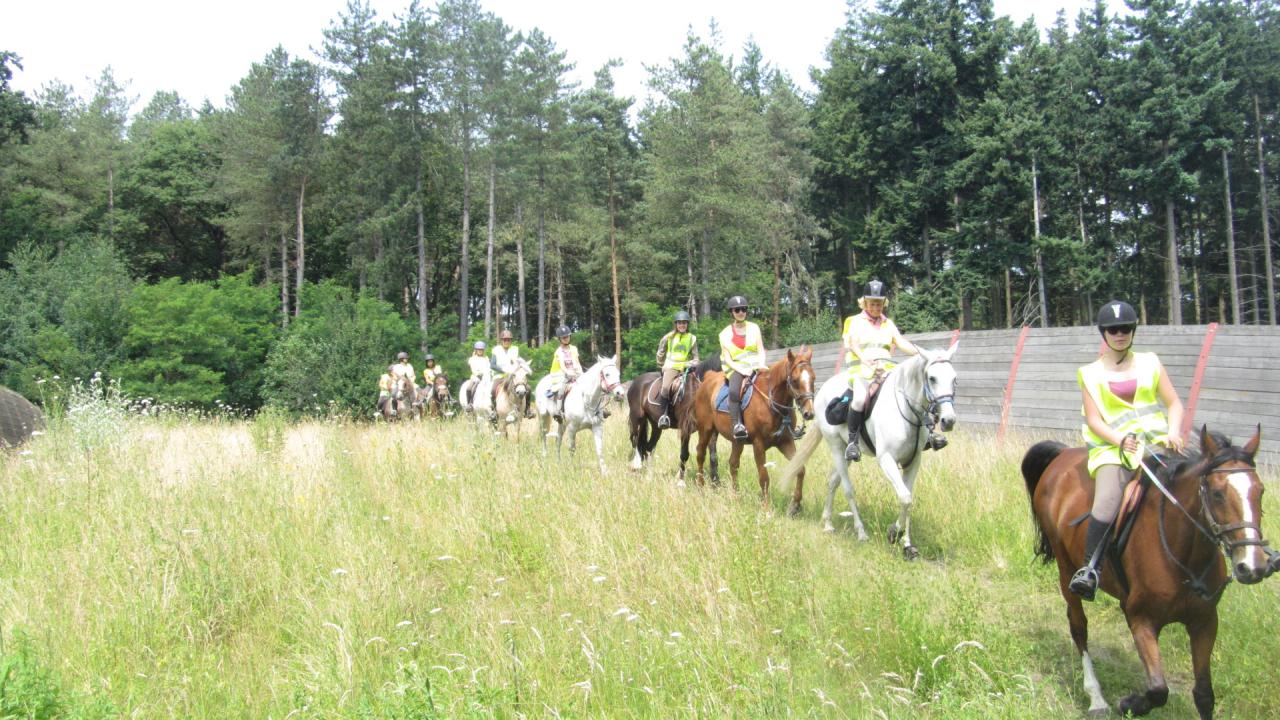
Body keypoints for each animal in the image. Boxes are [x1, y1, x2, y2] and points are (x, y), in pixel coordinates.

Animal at [696, 345, 814, 507]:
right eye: (795, 380)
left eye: (813, 378)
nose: (809, 413)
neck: (771, 402)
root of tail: (708, 378)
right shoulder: (758, 444)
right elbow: (764, 477)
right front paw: (766, 507)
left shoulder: (785, 441)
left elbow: (800, 469)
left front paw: (795, 505)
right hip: (705, 429)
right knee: (700, 454)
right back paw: (701, 487)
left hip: (737, 441)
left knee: (733, 464)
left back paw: (736, 496)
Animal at [773, 345, 957, 558]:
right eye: (932, 378)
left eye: (954, 378)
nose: (948, 420)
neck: (905, 410)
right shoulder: (886, 459)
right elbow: (904, 497)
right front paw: (894, 533)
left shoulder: (913, 461)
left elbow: (908, 497)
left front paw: (907, 544)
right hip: (836, 447)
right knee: (847, 489)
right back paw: (860, 531)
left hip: (846, 452)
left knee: (833, 481)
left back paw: (827, 523)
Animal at [1018, 425, 1280, 717]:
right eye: (1217, 493)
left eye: (1260, 491)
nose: (1253, 566)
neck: (1184, 556)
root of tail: (1063, 455)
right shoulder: (1142, 620)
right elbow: (1158, 690)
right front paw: (1129, 703)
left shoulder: (1205, 621)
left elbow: (1203, 695)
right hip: (1066, 570)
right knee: (1079, 627)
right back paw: (1096, 698)